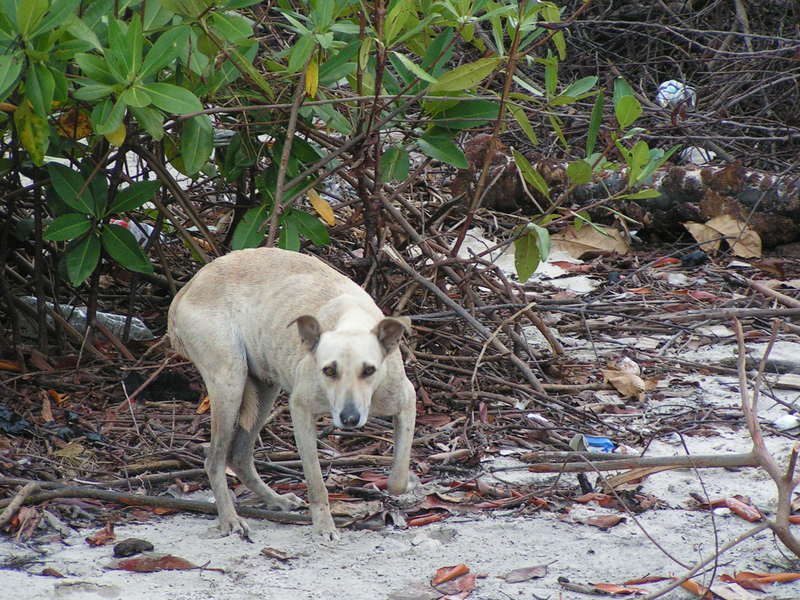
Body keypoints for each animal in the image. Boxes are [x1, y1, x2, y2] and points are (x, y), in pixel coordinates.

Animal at [167, 247, 416, 541]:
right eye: (328, 370)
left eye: (369, 370)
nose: (349, 419)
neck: (350, 322)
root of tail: (189, 285)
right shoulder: (301, 411)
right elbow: (316, 482)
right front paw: (324, 526)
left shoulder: (407, 403)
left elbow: (398, 477)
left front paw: (399, 486)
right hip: (230, 382)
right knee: (215, 461)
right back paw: (230, 519)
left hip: (264, 390)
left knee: (239, 456)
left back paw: (276, 500)